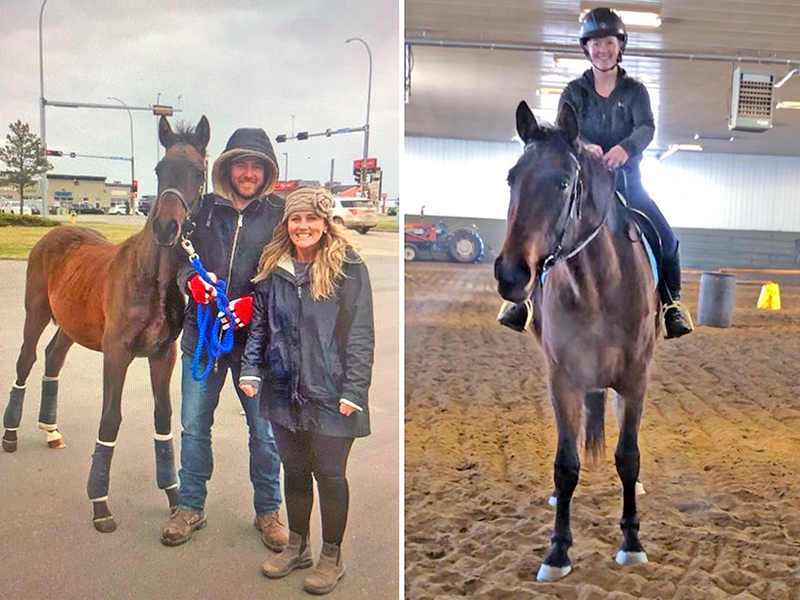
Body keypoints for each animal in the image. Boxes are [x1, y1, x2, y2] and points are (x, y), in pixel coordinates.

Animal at [2, 115, 209, 533]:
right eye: (159, 169)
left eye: (198, 172)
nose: (166, 227)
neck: (151, 279)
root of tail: (54, 232)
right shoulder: (116, 354)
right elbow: (110, 419)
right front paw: (100, 504)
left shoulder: (162, 356)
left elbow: (163, 418)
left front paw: (174, 495)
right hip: (37, 313)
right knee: (27, 359)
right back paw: (11, 434)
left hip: (71, 324)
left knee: (53, 356)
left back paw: (50, 430)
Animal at [494, 101, 659, 581]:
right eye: (511, 178)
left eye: (564, 182)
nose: (511, 274)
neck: (600, 285)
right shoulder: (562, 379)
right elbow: (566, 465)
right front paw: (558, 551)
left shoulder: (636, 379)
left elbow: (628, 456)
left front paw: (632, 542)